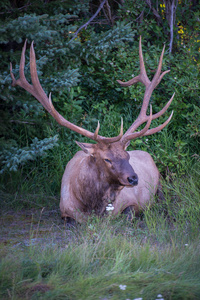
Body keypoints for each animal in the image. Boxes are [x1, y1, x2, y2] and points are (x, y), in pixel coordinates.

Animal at [10, 37, 174, 223]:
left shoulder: (132, 202)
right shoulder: (64, 210)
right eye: (107, 159)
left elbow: (128, 215)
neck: (91, 206)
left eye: (127, 156)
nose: (133, 178)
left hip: (160, 183)